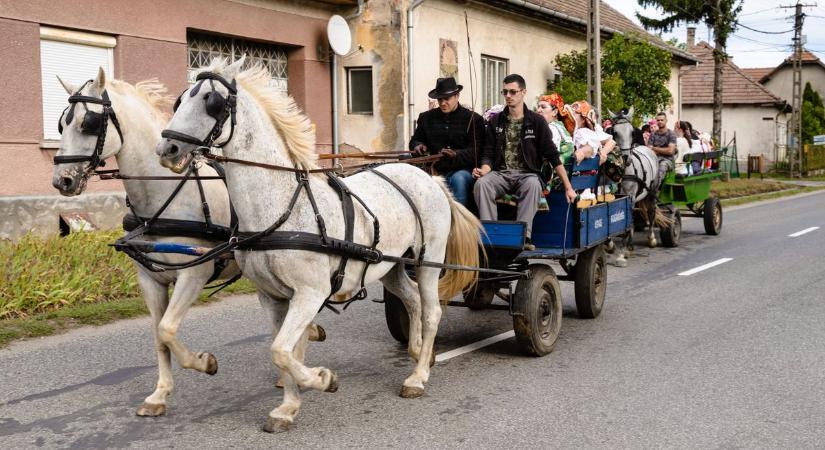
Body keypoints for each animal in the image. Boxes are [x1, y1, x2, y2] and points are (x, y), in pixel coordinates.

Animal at [49, 68, 322, 416]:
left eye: (89, 122)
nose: (62, 180)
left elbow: (168, 328)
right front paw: (159, 394)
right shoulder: (149, 280)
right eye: (62, 123)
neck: (164, 197)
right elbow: (159, 335)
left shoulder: (193, 275)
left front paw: (204, 362)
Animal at [154, 58, 482, 430]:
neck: (282, 206)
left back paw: (418, 375)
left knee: (431, 311)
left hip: (429, 260)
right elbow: (281, 349)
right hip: (390, 264)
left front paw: (322, 379)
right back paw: (415, 352)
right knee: (411, 300)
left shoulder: (310, 292)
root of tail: (429, 177)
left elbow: (282, 350)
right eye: (182, 100)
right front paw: (288, 406)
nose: (167, 149)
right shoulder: (273, 297)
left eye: (212, 102)